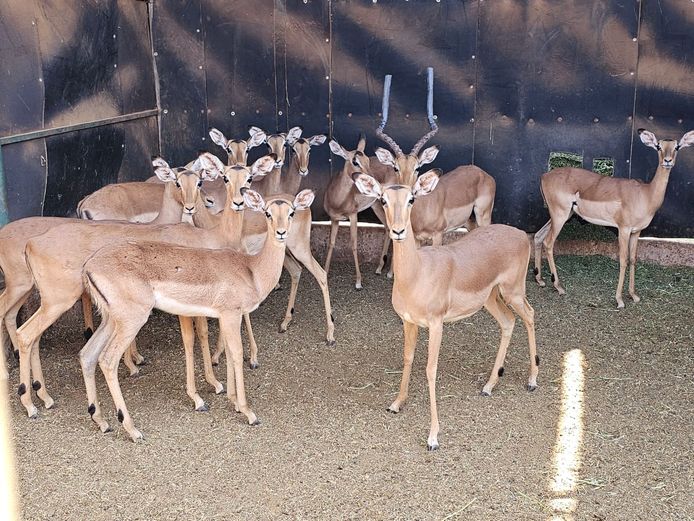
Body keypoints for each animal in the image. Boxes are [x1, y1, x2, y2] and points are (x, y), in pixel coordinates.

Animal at [0, 157, 206, 381]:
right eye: (177, 182)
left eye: (198, 181)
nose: (191, 208)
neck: (157, 228)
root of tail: (31, 244)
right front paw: (133, 364)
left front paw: (135, 359)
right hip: (34, 292)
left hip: (27, 289)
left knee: (14, 319)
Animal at [81, 189, 314, 441]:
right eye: (268, 213)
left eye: (291, 212)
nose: (281, 233)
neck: (251, 270)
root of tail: (89, 265)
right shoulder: (231, 315)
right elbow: (236, 353)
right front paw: (248, 412)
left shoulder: (224, 316)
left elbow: (228, 353)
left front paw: (232, 401)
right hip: (131, 320)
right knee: (107, 360)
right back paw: (132, 429)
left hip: (110, 320)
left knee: (87, 354)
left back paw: (101, 421)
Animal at [323, 134, 397, 289]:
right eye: (355, 162)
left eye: (368, 160)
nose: (375, 183)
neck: (337, 200)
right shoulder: (334, 219)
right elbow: (331, 243)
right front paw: (325, 272)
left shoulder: (353, 216)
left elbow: (353, 244)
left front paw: (358, 281)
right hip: (376, 205)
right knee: (388, 228)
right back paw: (379, 269)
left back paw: (390, 273)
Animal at [353, 171, 539, 451]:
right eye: (383, 200)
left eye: (411, 198)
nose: (398, 231)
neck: (417, 275)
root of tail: (520, 234)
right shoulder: (409, 322)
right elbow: (408, 358)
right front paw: (397, 403)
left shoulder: (436, 324)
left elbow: (431, 369)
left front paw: (433, 437)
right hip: (491, 298)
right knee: (508, 322)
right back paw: (488, 386)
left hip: (513, 291)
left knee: (529, 315)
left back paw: (532, 381)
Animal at [534, 128, 694, 308]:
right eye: (658, 146)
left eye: (677, 147)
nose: (667, 161)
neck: (645, 194)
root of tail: (544, 176)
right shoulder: (623, 229)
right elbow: (623, 260)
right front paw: (619, 300)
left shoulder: (636, 232)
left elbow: (633, 259)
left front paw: (633, 295)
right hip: (560, 216)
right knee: (548, 242)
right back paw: (558, 286)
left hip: (562, 215)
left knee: (538, 236)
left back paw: (540, 280)